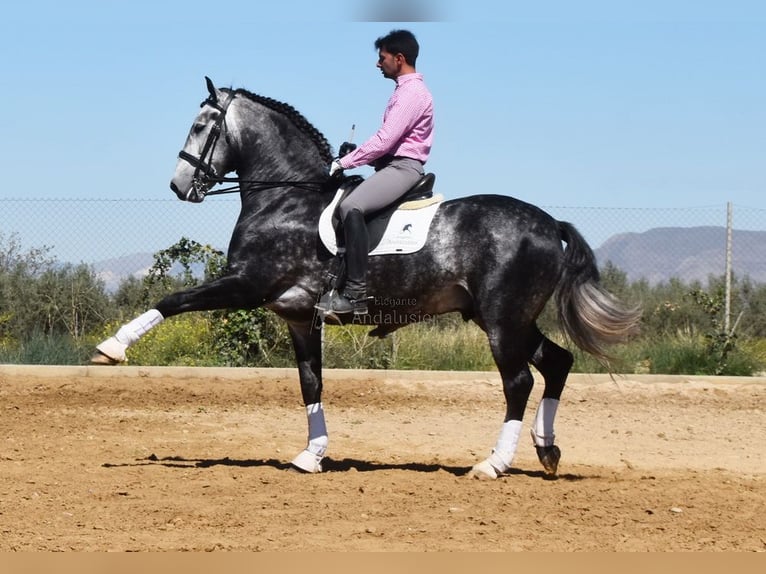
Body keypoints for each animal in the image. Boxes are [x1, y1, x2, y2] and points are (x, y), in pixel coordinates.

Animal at [91, 79, 640, 480]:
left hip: (503, 320)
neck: (285, 198)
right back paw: (547, 451)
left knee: (520, 381)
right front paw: (311, 455)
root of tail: (551, 225)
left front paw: (112, 348)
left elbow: (174, 298)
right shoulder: (298, 316)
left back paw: (493, 464)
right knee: (558, 363)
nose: (179, 185)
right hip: (506, 318)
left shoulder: (246, 284)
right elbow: (310, 383)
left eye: (203, 124)